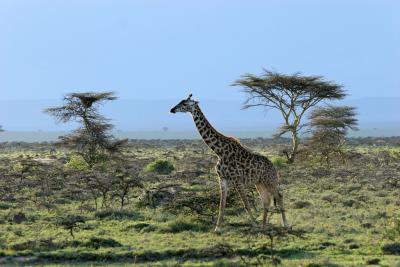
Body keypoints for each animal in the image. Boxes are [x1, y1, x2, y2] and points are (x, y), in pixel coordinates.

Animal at [170, 94, 290, 232]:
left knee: (279, 196)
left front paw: (254, 225)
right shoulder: (222, 179)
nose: (172, 109)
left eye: (185, 104)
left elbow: (246, 204)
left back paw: (285, 224)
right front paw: (217, 228)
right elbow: (221, 206)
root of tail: (274, 168)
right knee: (266, 200)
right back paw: (264, 226)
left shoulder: (237, 180)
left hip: (270, 181)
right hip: (259, 183)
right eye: (180, 102)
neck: (219, 151)